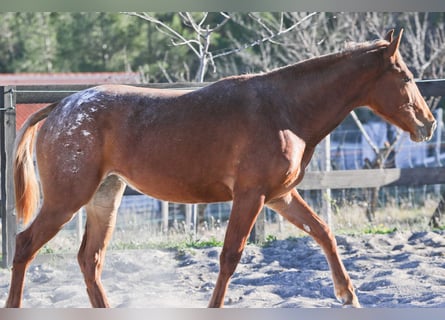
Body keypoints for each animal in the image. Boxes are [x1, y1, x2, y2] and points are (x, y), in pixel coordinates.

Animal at [4, 30, 434, 308]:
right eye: (406, 77)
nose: (428, 124)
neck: (284, 111)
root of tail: (59, 106)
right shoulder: (251, 196)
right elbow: (230, 255)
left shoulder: (280, 197)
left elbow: (323, 232)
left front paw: (348, 295)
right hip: (66, 199)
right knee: (25, 246)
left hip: (104, 197)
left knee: (89, 260)